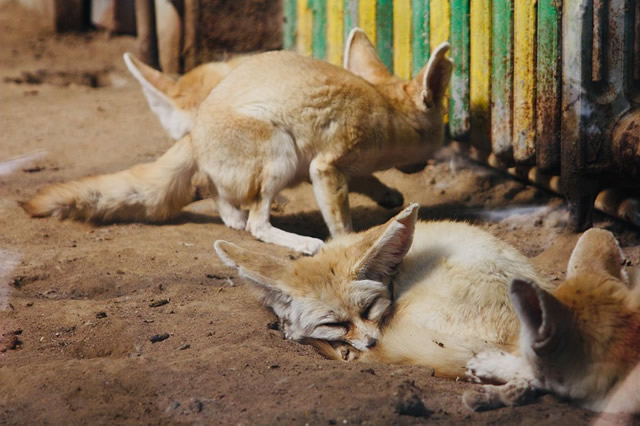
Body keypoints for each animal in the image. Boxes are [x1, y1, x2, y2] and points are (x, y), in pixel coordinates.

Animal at [22, 30, 452, 256]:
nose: (421, 167)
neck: (384, 109)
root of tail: (195, 133)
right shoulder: (325, 165)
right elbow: (340, 219)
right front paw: (346, 243)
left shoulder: (338, 165)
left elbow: (368, 181)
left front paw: (388, 194)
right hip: (280, 151)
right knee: (255, 224)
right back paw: (302, 242)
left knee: (225, 202)